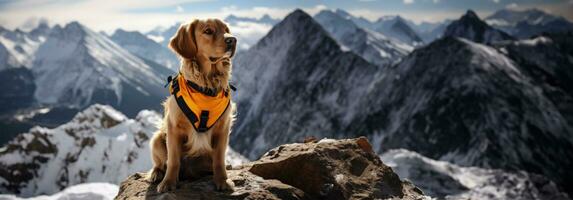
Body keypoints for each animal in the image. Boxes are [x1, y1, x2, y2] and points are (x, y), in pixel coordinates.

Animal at [146, 18, 238, 192]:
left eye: (226, 29)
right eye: (208, 31)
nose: (233, 40)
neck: (205, 87)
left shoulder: (223, 128)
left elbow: (219, 159)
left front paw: (223, 180)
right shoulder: (173, 127)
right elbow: (173, 160)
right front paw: (168, 182)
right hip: (157, 138)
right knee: (160, 163)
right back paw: (156, 174)